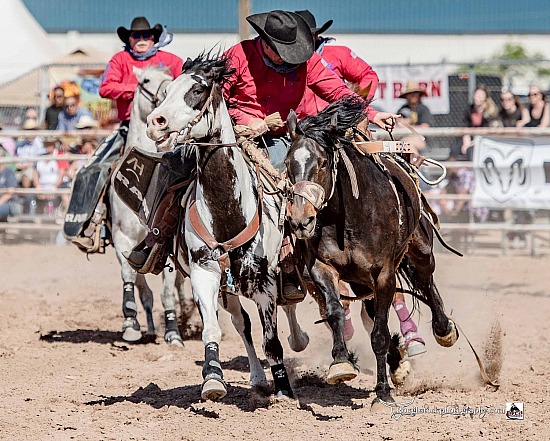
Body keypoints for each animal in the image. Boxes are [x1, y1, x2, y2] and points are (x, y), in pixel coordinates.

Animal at [146, 54, 310, 398]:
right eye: (167, 90)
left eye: (197, 90)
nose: (156, 122)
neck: (228, 211)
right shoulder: (204, 272)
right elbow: (214, 329)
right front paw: (212, 378)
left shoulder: (264, 281)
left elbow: (272, 341)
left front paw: (284, 391)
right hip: (226, 285)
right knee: (241, 323)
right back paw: (258, 378)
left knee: (288, 308)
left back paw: (298, 342)